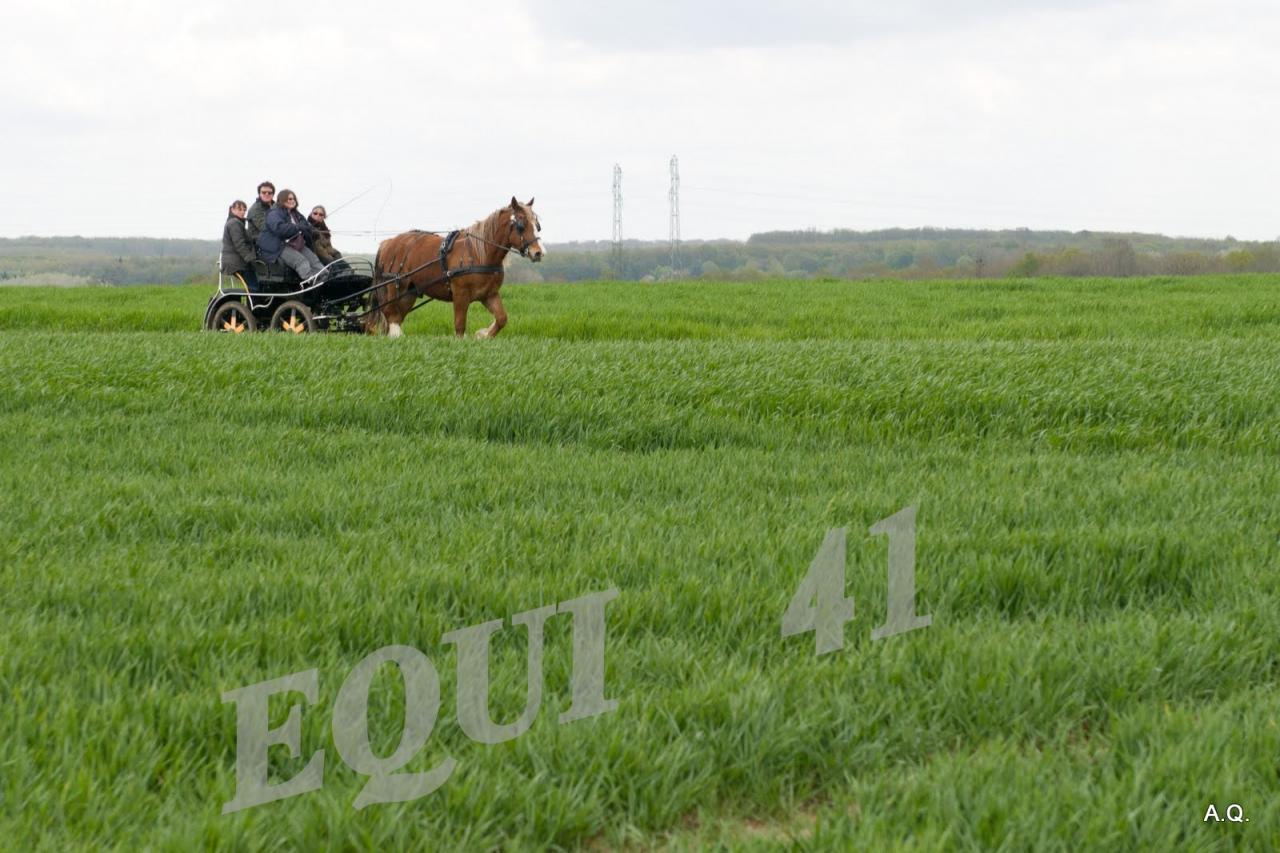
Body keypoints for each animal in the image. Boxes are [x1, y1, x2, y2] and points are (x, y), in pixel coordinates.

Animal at [368, 194, 542, 338]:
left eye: (537, 225)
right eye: (521, 225)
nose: (538, 253)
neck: (479, 254)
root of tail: (387, 243)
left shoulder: (489, 294)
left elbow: (501, 318)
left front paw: (482, 335)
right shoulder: (460, 294)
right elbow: (459, 326)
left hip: (409, 293)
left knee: (396, 316)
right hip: (394, 286)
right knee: (390, 313)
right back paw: (396, 335)